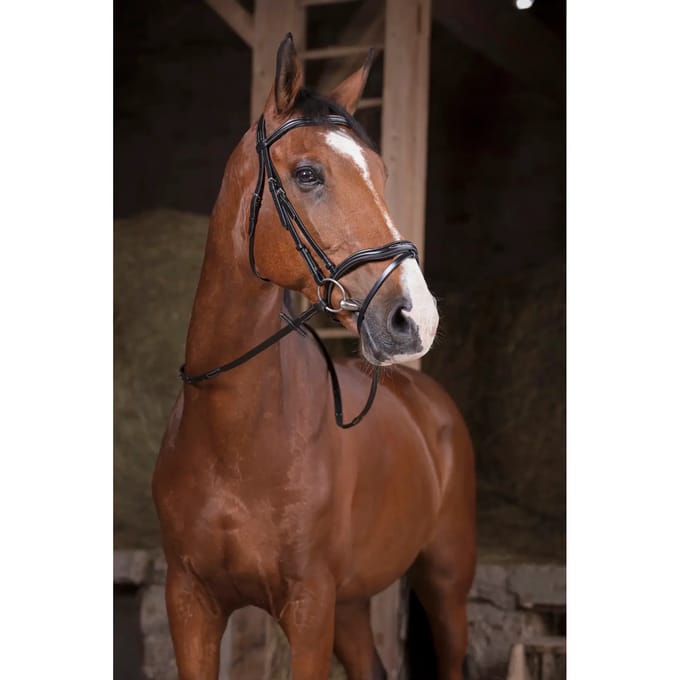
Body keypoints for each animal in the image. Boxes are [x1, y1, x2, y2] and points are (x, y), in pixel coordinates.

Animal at [152, 34, 476, 680]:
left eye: (380, 173)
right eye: (307, 174)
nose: (416, 318)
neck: (234, 433)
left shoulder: (309, 608)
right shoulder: (190, 601)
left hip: (446, 580)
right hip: (352, 605)